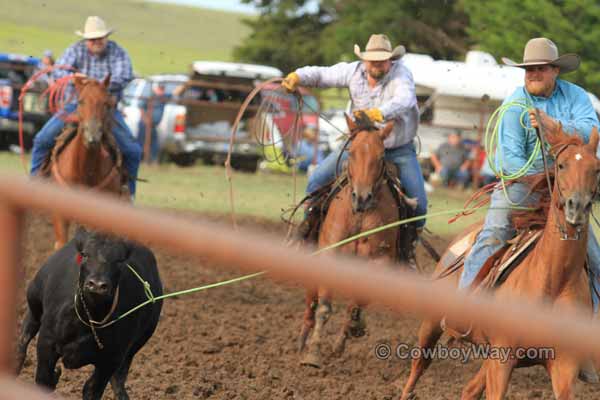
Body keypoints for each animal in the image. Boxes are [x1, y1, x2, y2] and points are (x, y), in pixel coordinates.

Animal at [47, 75, 125, 248]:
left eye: (106, 103)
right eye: (81, 101)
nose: (92, 136)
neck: (83, 170)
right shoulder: (59, 216)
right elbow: (61, 244)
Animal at [298, 112, 418, 368]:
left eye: (381, 156)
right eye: (351, 152)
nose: (362, 197)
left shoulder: (378, 262)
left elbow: (357, 303)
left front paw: (353, 328)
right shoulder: (329, 254)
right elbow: (324, 307)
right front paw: (313, 354)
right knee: (311, 301)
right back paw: (303, 340)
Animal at [398, 126, 600, 400]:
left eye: (596, 168)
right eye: (561, 165)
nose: (577, 206)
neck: (551, 282)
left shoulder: (564, 366)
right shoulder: (502, 359)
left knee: (470, 390)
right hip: (432, 323)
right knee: (420, 364)